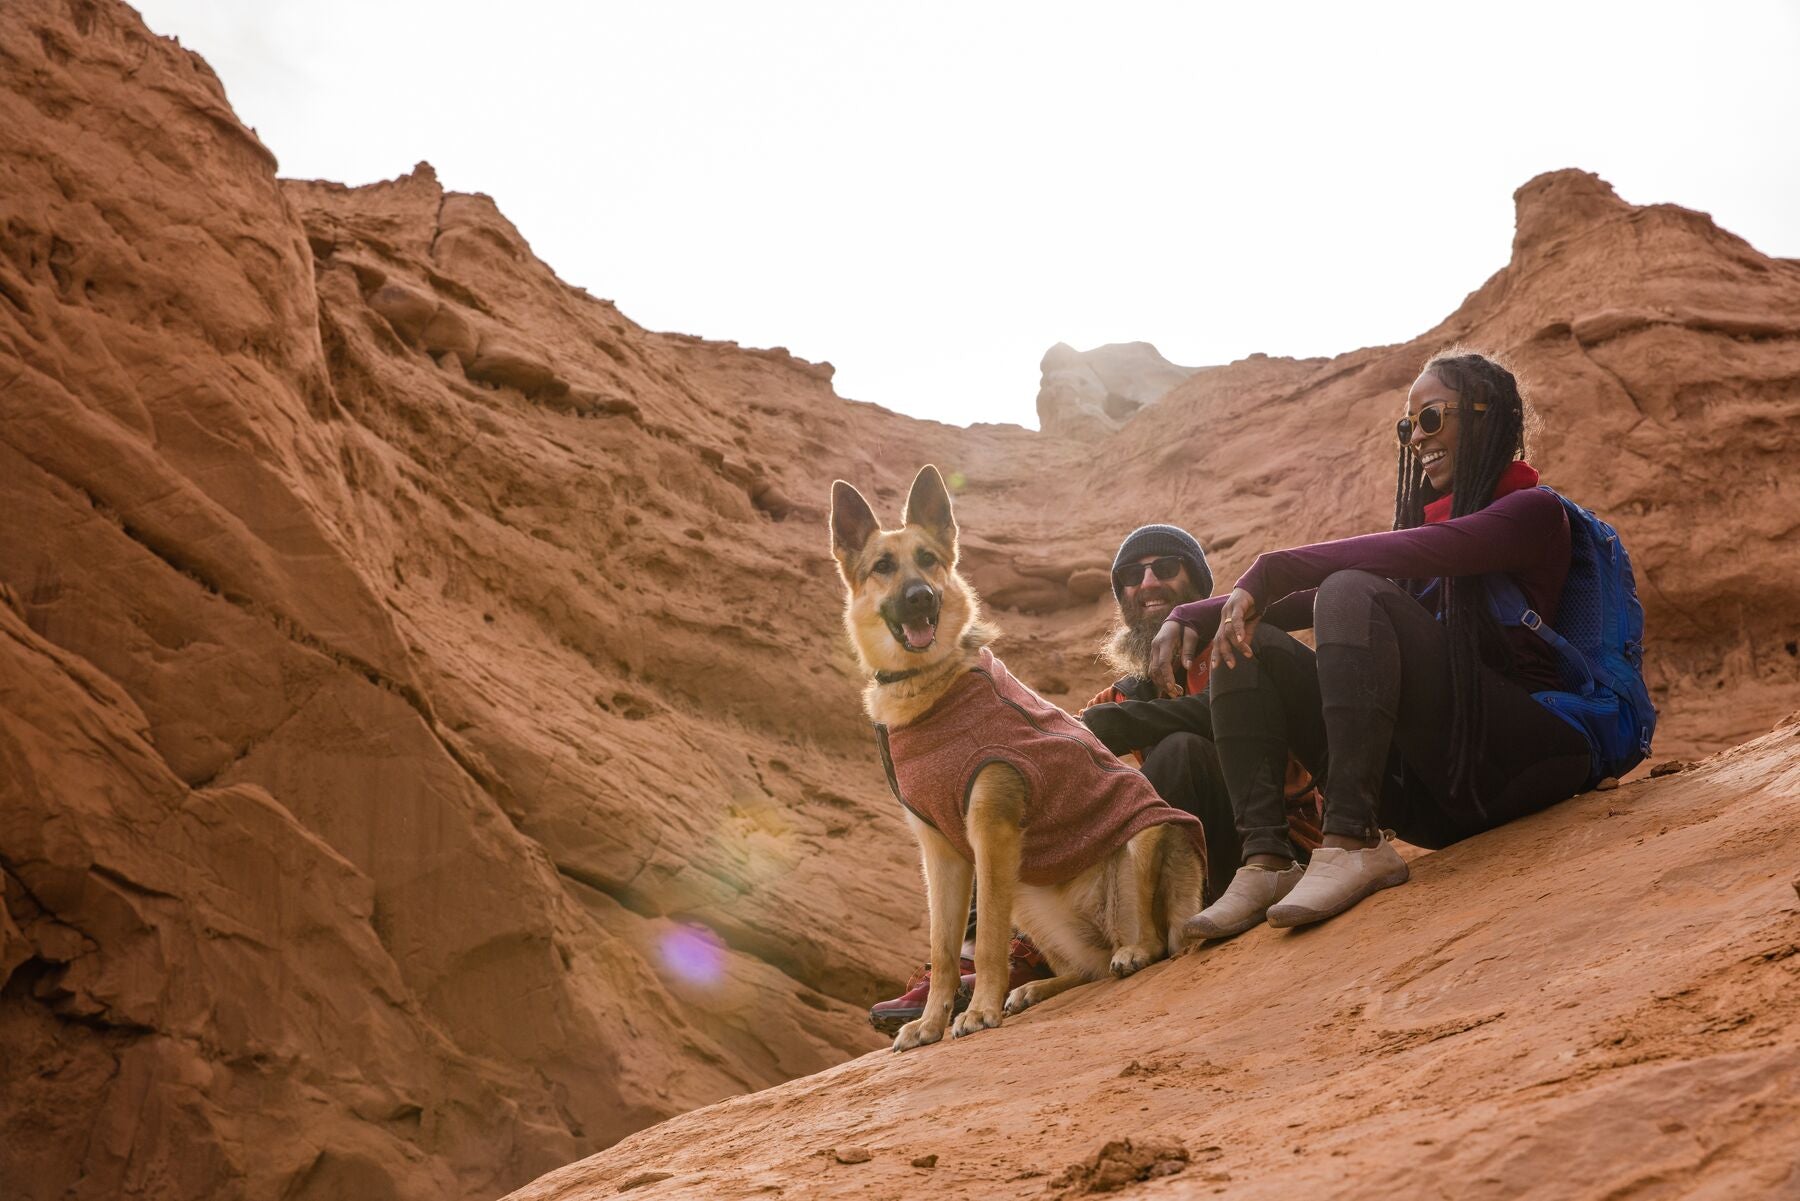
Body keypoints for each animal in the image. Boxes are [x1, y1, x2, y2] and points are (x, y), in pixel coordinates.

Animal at [830, 464, 1206, 1052]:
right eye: (883, 567)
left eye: (929, 560)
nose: (921, 598)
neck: (931, 688)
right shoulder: (940, 852)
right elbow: (942, 948)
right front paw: (931, 1023)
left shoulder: (991, 830)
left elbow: (984, 942)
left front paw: (977, 1011)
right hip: (1029, 894)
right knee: (1087, 968)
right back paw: (1037, 988)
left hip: (1147, 837)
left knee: (1149, 938)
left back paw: (1129, 952)